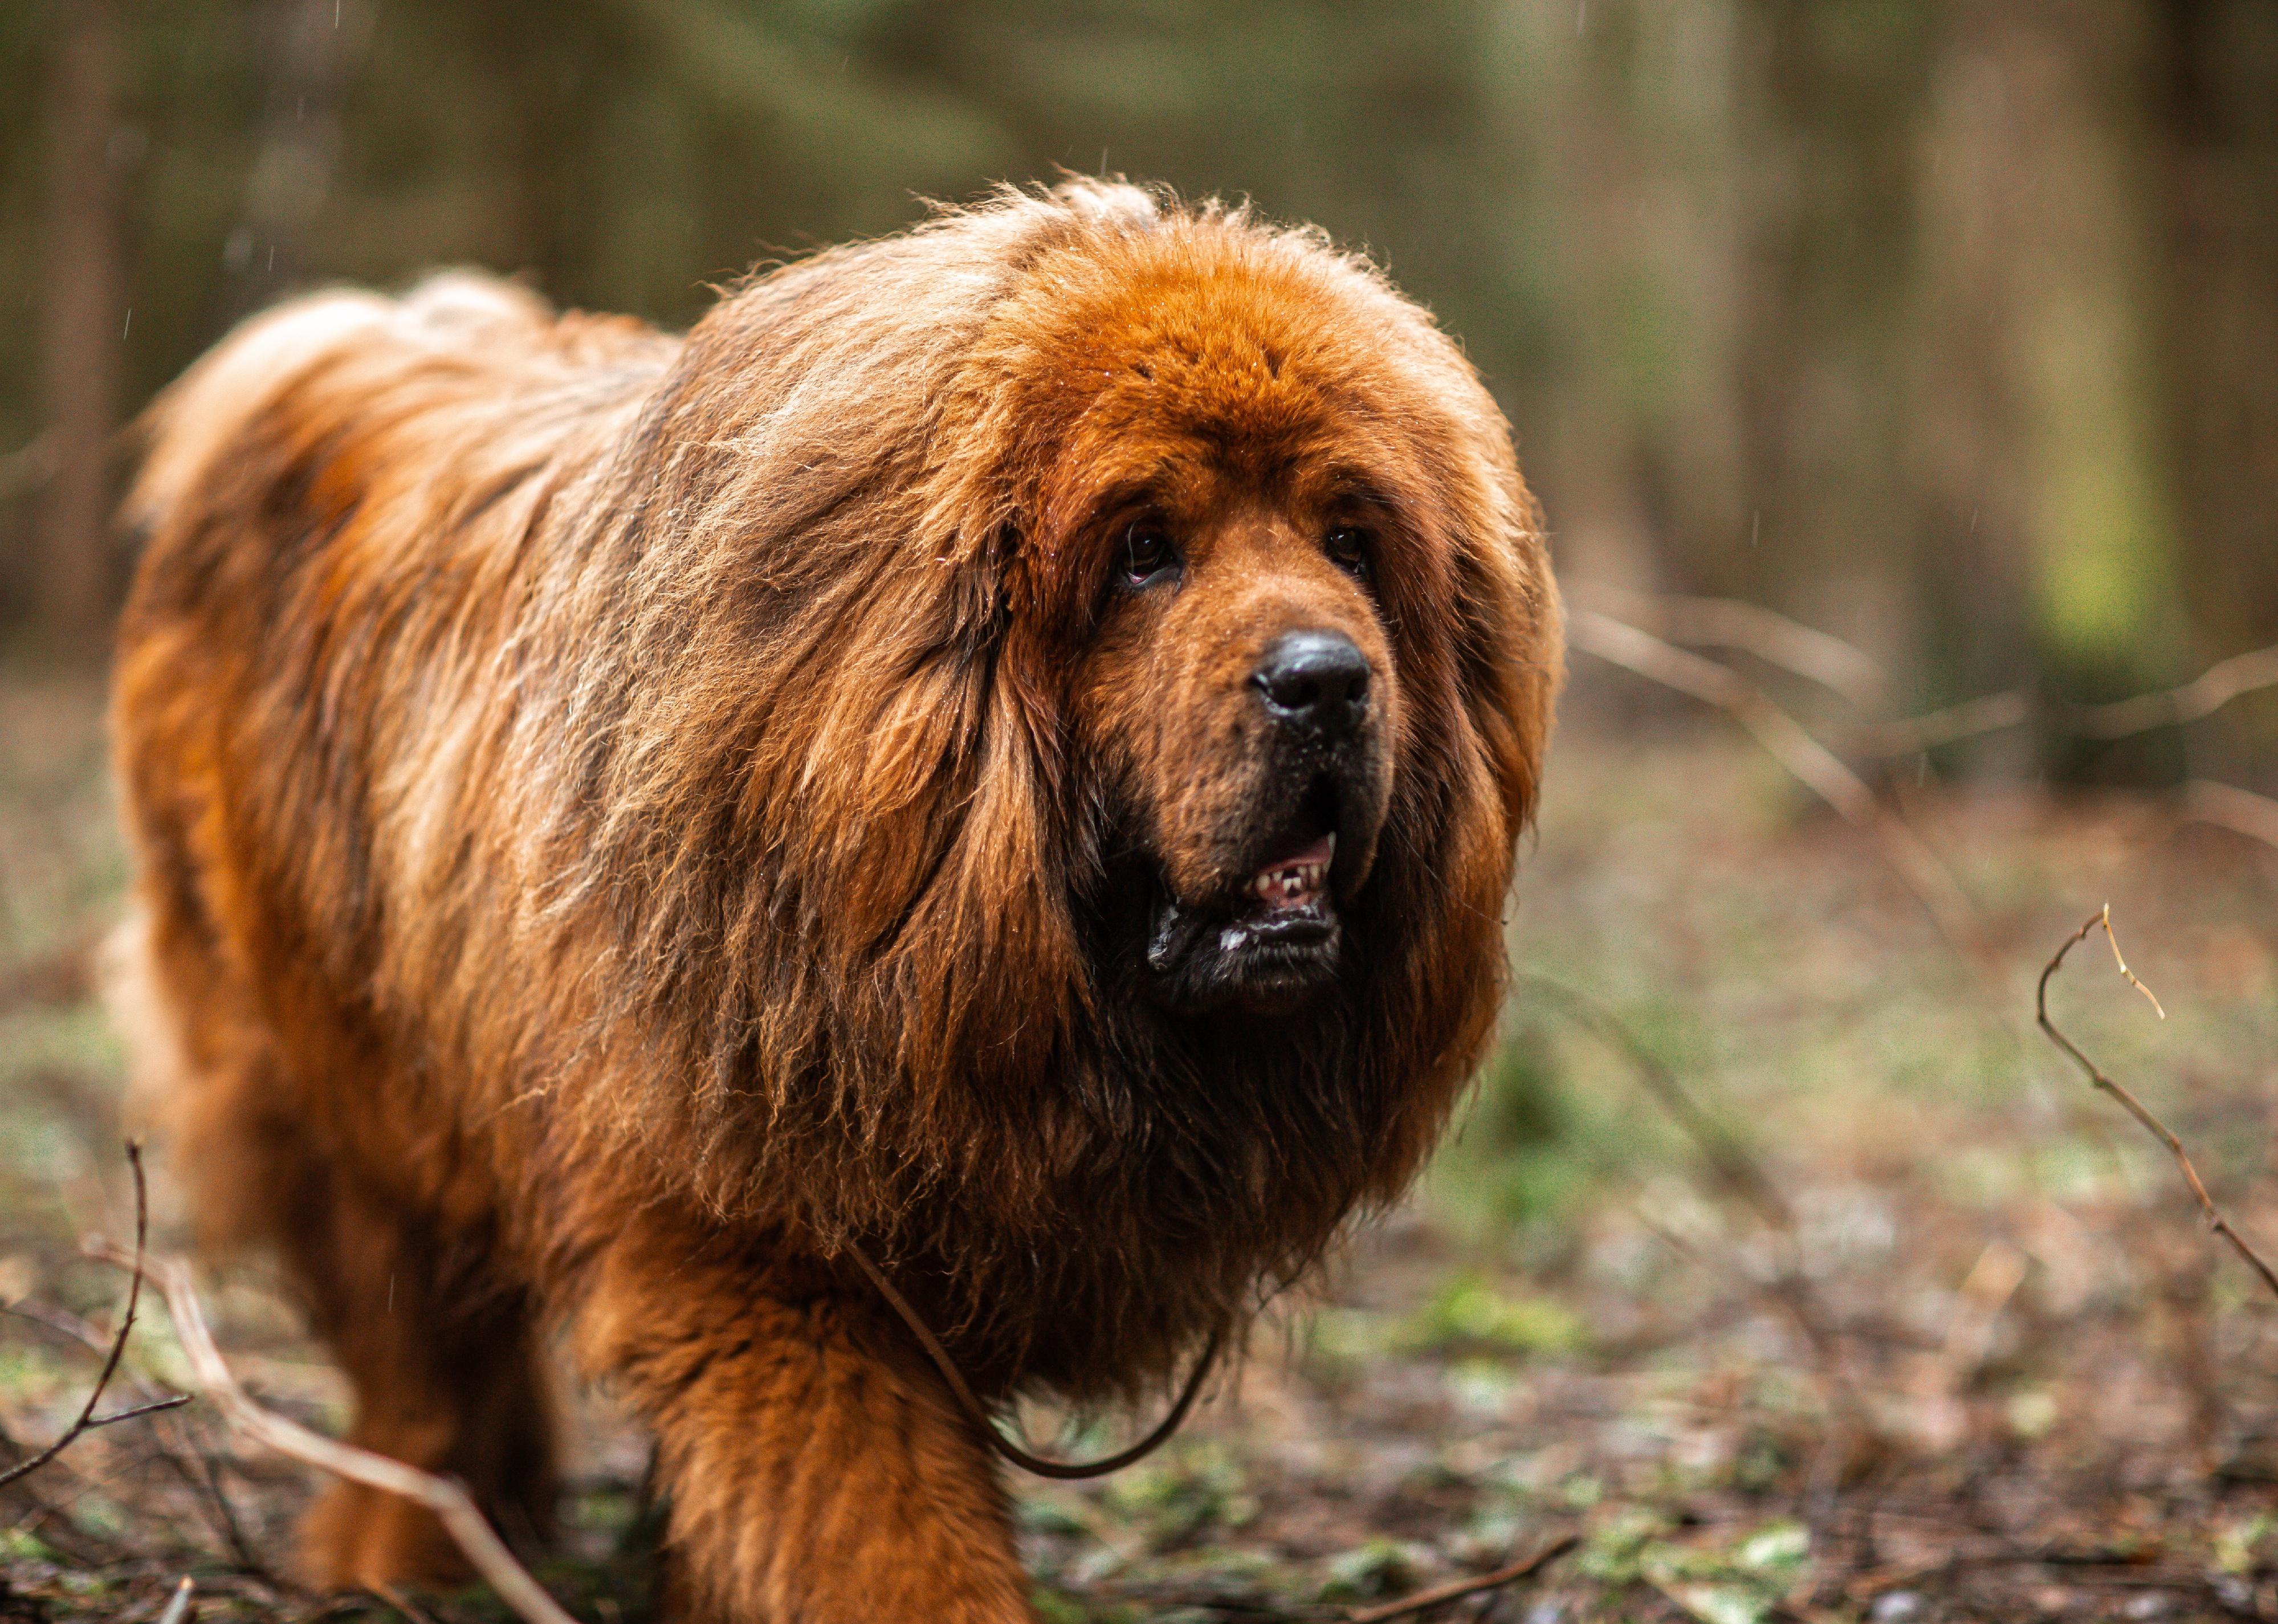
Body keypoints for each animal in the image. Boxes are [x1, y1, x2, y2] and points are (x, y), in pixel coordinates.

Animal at [111, 183, 1567, 1613]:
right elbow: (890, 1549)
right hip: (334, 1085)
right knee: (417, 1351)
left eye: (1350, 543)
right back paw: (408, 1543)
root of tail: (327, 347)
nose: (1326, 680)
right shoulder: (764, 1268)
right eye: (1146, 551)